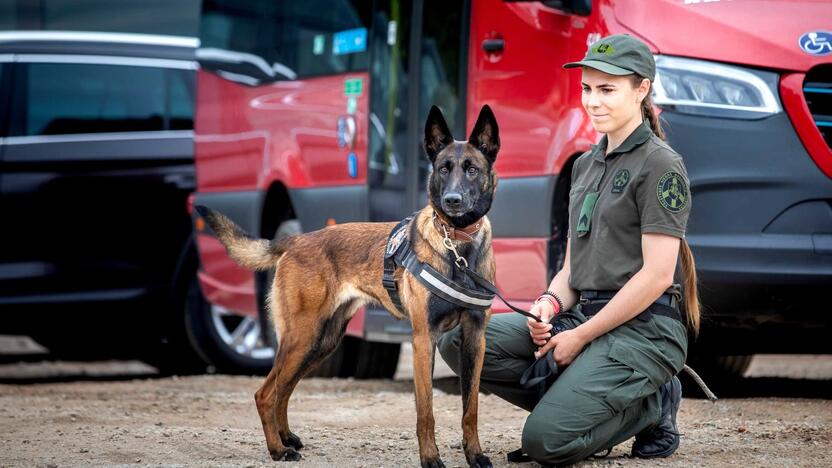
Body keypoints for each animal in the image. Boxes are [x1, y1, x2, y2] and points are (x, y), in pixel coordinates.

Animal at [195, 106, 500, 468]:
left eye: (472, 169)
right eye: (443, 169)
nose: (452, 200)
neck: (458, 246)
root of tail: (295, 240)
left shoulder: (474, 339)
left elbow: (471, 408)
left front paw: (475, 454)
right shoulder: (423, 339)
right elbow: (426, 411)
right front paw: (430, 458)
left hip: (321, 342)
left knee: (283, 389)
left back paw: (286, 438)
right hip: (303, 337)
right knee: (265, 392)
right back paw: (277, 449)